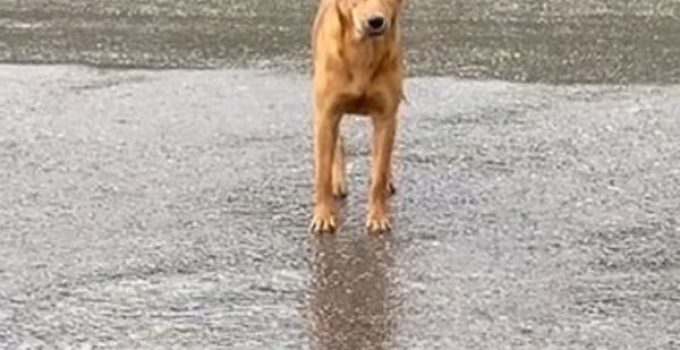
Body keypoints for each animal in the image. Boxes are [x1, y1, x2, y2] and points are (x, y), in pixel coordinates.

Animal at [310, 0, 406, 235]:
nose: (376, 21)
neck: (363, 52)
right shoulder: (326, 115)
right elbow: (322, 174)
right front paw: (323, 216)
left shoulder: (386, 118)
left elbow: (379, 173)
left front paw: (378, 217)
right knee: (338, 144)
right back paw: (338, 183)